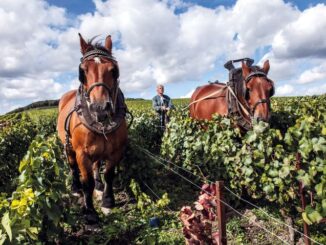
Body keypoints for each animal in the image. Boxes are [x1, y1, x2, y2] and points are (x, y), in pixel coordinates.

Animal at [57, 33, 127, 223]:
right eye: (82, 71)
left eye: (114, 70)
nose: (100, 109)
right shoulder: (82, 153)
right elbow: (86, 181)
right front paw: (89, 212)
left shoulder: (116, 151)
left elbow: (109, 175)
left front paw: (107, 202)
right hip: (68, 146)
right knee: (72, 166)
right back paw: (75, 188)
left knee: (96, 165)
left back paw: (99, 185)